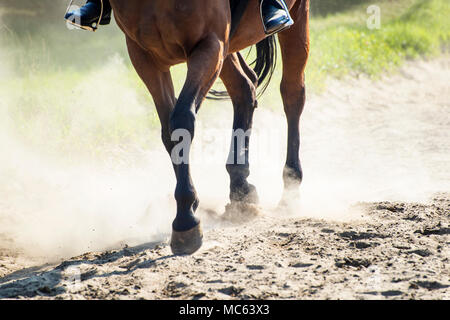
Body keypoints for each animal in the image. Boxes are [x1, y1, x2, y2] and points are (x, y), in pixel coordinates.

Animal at [109, 0, 310, 255]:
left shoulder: (210, 44)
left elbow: (181, 120)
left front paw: (185, 219)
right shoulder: (144, 56)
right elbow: (169, 132)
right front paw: (189, 209)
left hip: (296, 15)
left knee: (292, 93)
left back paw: (290, 188)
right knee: (245, 87)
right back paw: (240, 186)